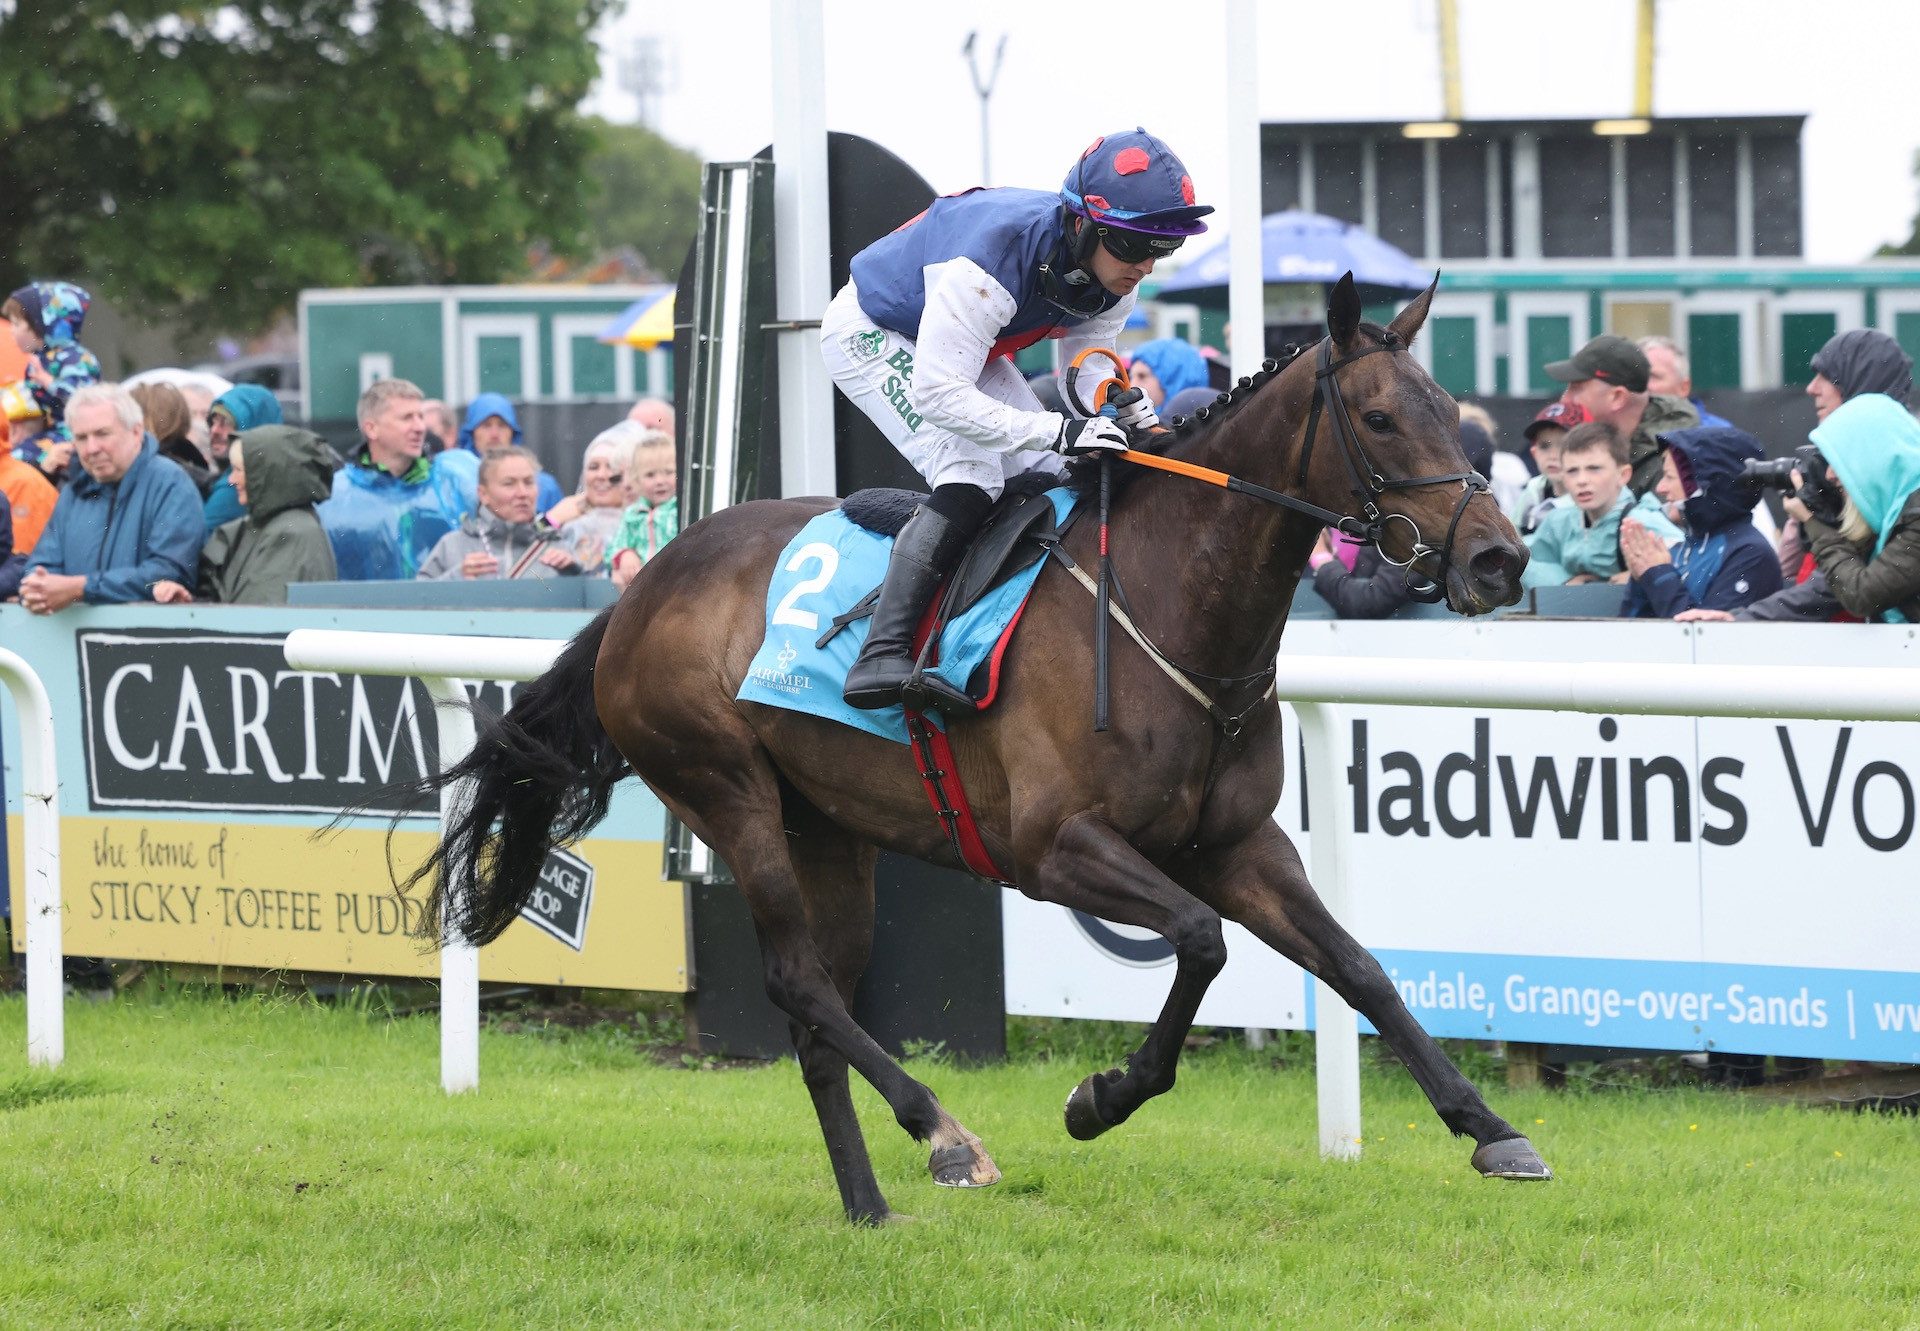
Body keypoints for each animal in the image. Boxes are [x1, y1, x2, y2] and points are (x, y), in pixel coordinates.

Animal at [405, 274, 1543, 1221]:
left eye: (1452, 409)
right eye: (1381, 416)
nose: (1499, 556)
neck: (1166, 605)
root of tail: (639, 589)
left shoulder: (1235, 843)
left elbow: (1359, 968)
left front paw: (1492, 1129)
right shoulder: (1054, 848)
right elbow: (1201, 940)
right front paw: (1101, 1096)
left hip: (828, 829)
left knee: (818, 1006)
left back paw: (869, 1202)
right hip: (726, 790)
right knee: (798, 981)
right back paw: (944, 1132)